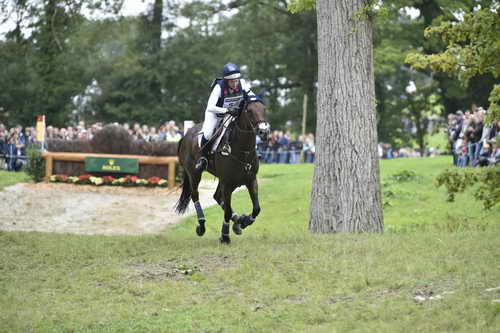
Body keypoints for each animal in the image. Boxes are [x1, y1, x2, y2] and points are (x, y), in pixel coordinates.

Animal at [175, 97, 270, 243]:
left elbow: (256, 208)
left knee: (217, 197)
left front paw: (244, 221)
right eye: (249, 111)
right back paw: (201, 225)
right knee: (195, 195)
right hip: (194, 173)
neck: (243, 150)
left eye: (264, 109)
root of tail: (185, 135)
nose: (263, 132)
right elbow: (227, 211)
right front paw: (225, 235)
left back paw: (238, 222)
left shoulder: (251, 180)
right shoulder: (227, 183)